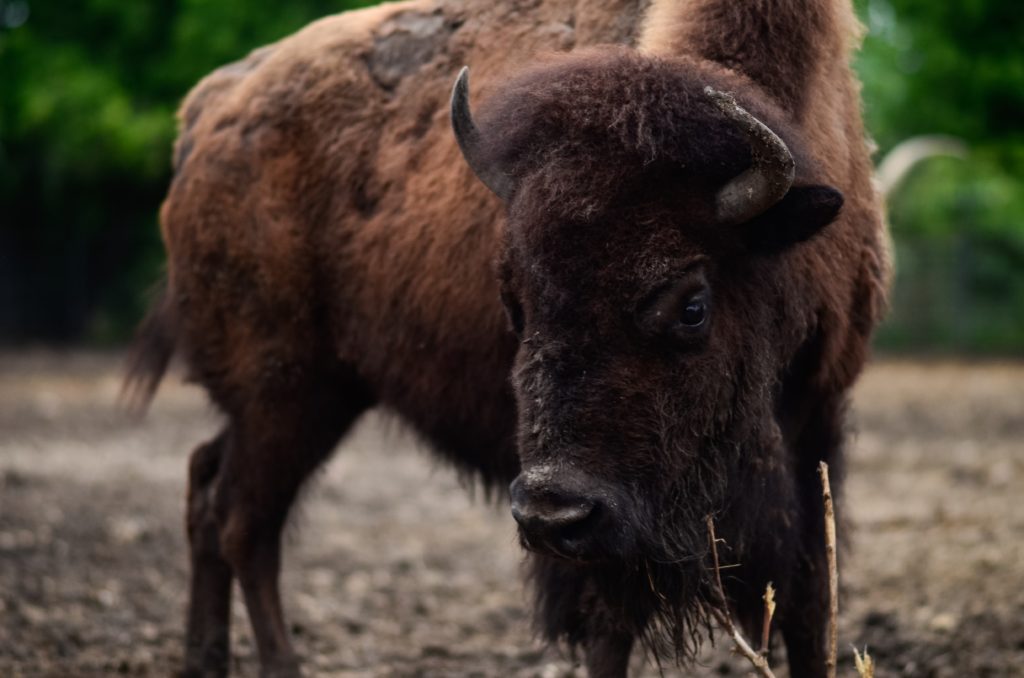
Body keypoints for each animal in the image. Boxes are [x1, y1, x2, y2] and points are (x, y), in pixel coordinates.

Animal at [125, 1, 888, 678]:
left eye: (693, 305)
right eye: (513, 300)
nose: (551, 513)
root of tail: (210, 110)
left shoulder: (817, 423)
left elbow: (810, 602)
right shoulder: (606, 534)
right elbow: (609, 629)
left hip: (308, 398)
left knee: (207, 484)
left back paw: (203, 658)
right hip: (286, 392)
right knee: (243, 520)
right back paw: (278, 664)